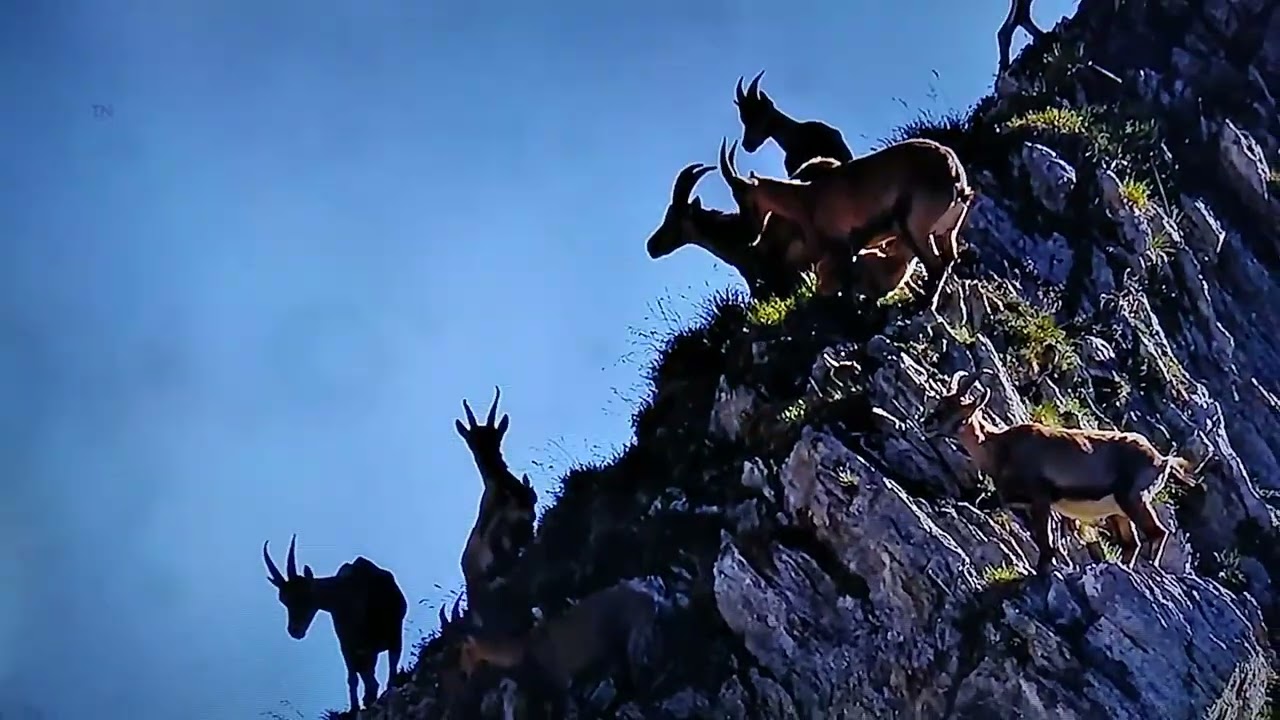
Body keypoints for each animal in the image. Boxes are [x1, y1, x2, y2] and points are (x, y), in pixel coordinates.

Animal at [263, 535, 407, 715]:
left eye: (306, 595)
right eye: (284, 600)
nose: (294, 630)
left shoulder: (382, 637)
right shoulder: (349, 644)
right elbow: (355, 678)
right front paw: (355, 707)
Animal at [715, 137, 974, 307]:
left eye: (742, 197)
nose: (749, 235)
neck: (807, 198)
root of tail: (956, 177)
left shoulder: (842, 246)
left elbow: (847, 286)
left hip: (914, 228)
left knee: (935, 265)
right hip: (946, 232)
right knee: (948, 259)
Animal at [920, 369, 1199, 575]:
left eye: (958, 409)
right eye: (941, 402)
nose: (928, 422)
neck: (1001, 447)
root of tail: (1162, 460)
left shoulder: (1041, 498)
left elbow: (1045, 544)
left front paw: (1043, 572)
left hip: (1133, 498)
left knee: (1157, 533)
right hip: (1118, 511)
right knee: (1133, 543)